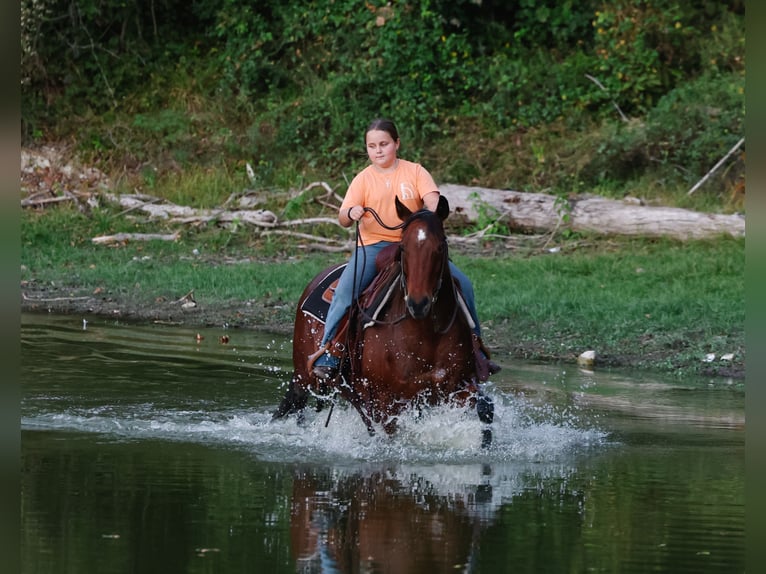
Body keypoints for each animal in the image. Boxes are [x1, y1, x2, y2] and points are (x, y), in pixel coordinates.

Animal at [273, 195, 494, 440]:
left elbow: (485, 410)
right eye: (403, 247)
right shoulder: (386, 401)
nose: (418, 303)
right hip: (304, 377)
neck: (427, 335)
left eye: (440, 246)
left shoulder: (457, 388)